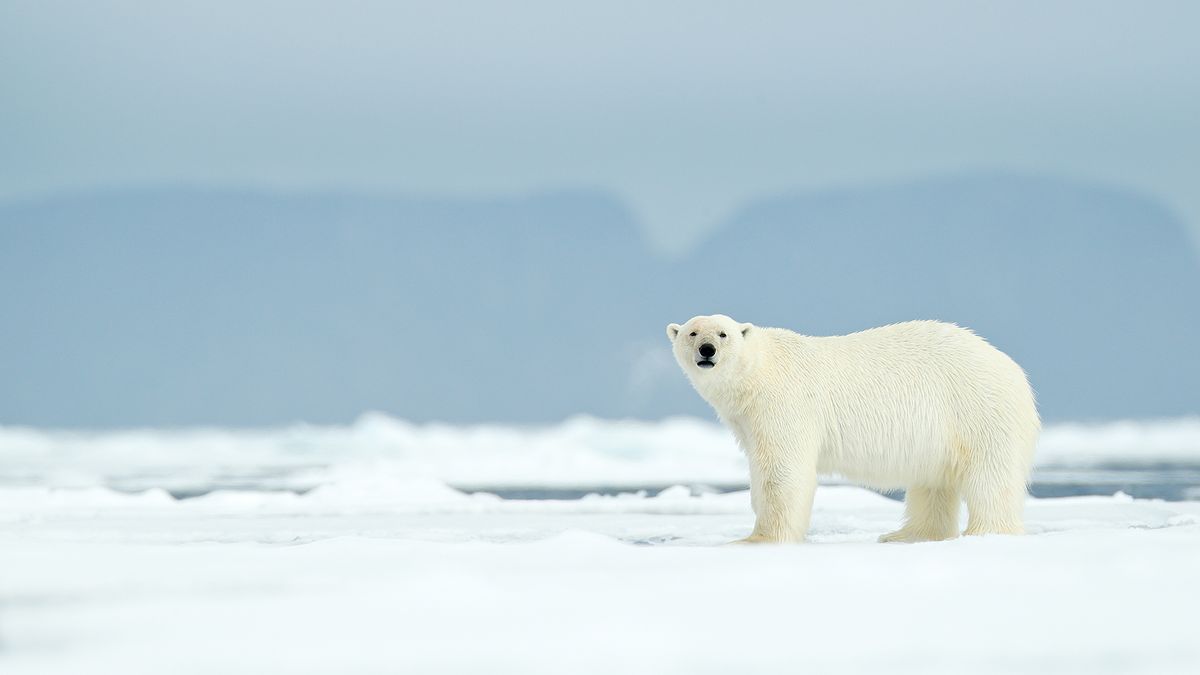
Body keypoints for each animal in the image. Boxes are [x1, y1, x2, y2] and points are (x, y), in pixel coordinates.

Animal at [667, 314, 1041, 540]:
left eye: (723, 333)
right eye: (692, 332)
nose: (707, 350)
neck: (762, 371)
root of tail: (1013, 369)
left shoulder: (784, 404)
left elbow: (784, 471)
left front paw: (758, 539)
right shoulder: (747, 420)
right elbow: (761, 470)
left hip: (979, 410)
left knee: (990, 479)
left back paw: (985, 533)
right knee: (933, 482)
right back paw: (905, 535)